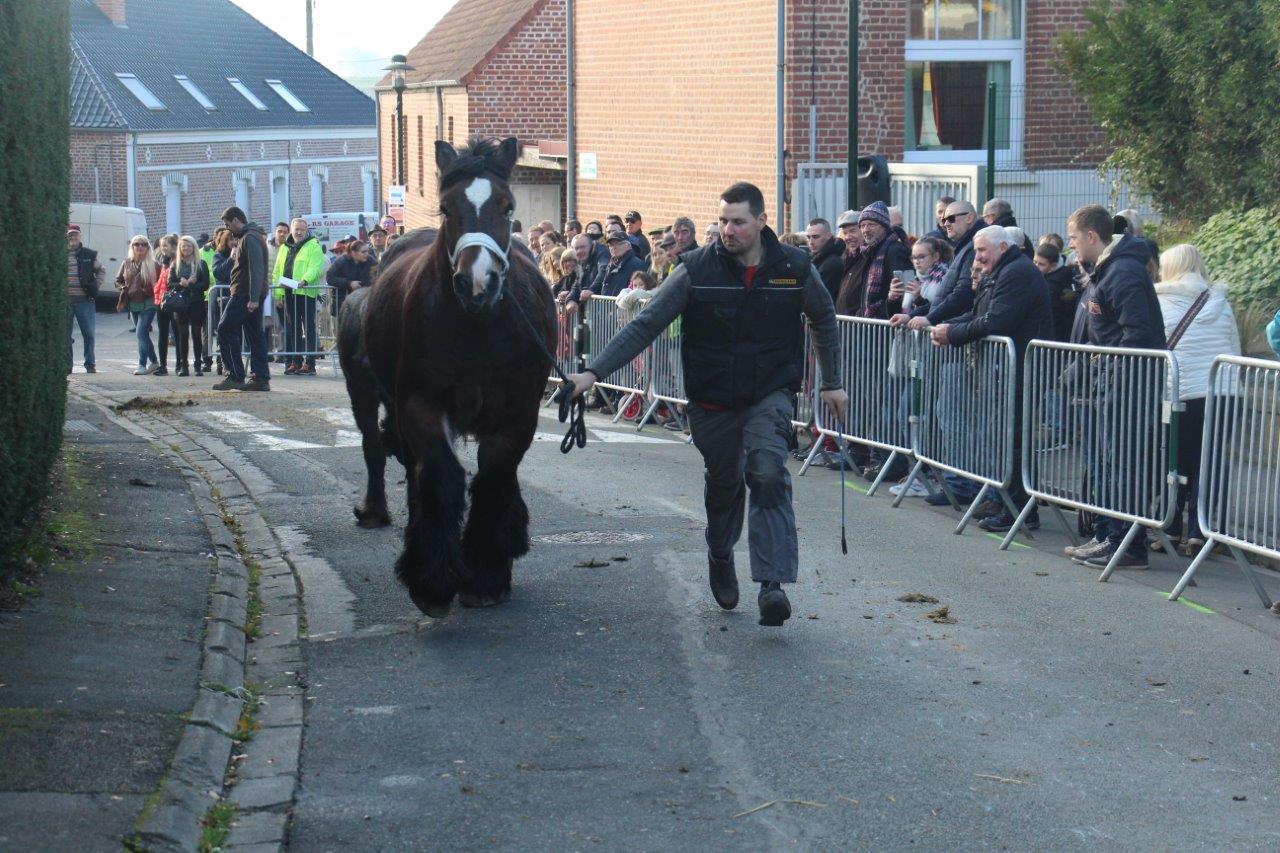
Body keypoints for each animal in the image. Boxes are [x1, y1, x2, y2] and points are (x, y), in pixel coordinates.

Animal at [363, 137, 558, 617]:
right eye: (446, 208)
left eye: (507, 207)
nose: (478, 281)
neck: (479, 327)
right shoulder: (420, 406)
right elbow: (440, 474)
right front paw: (432, 580)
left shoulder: (518, 414)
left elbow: (495, 478)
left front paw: (486, 573)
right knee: (415, 470)